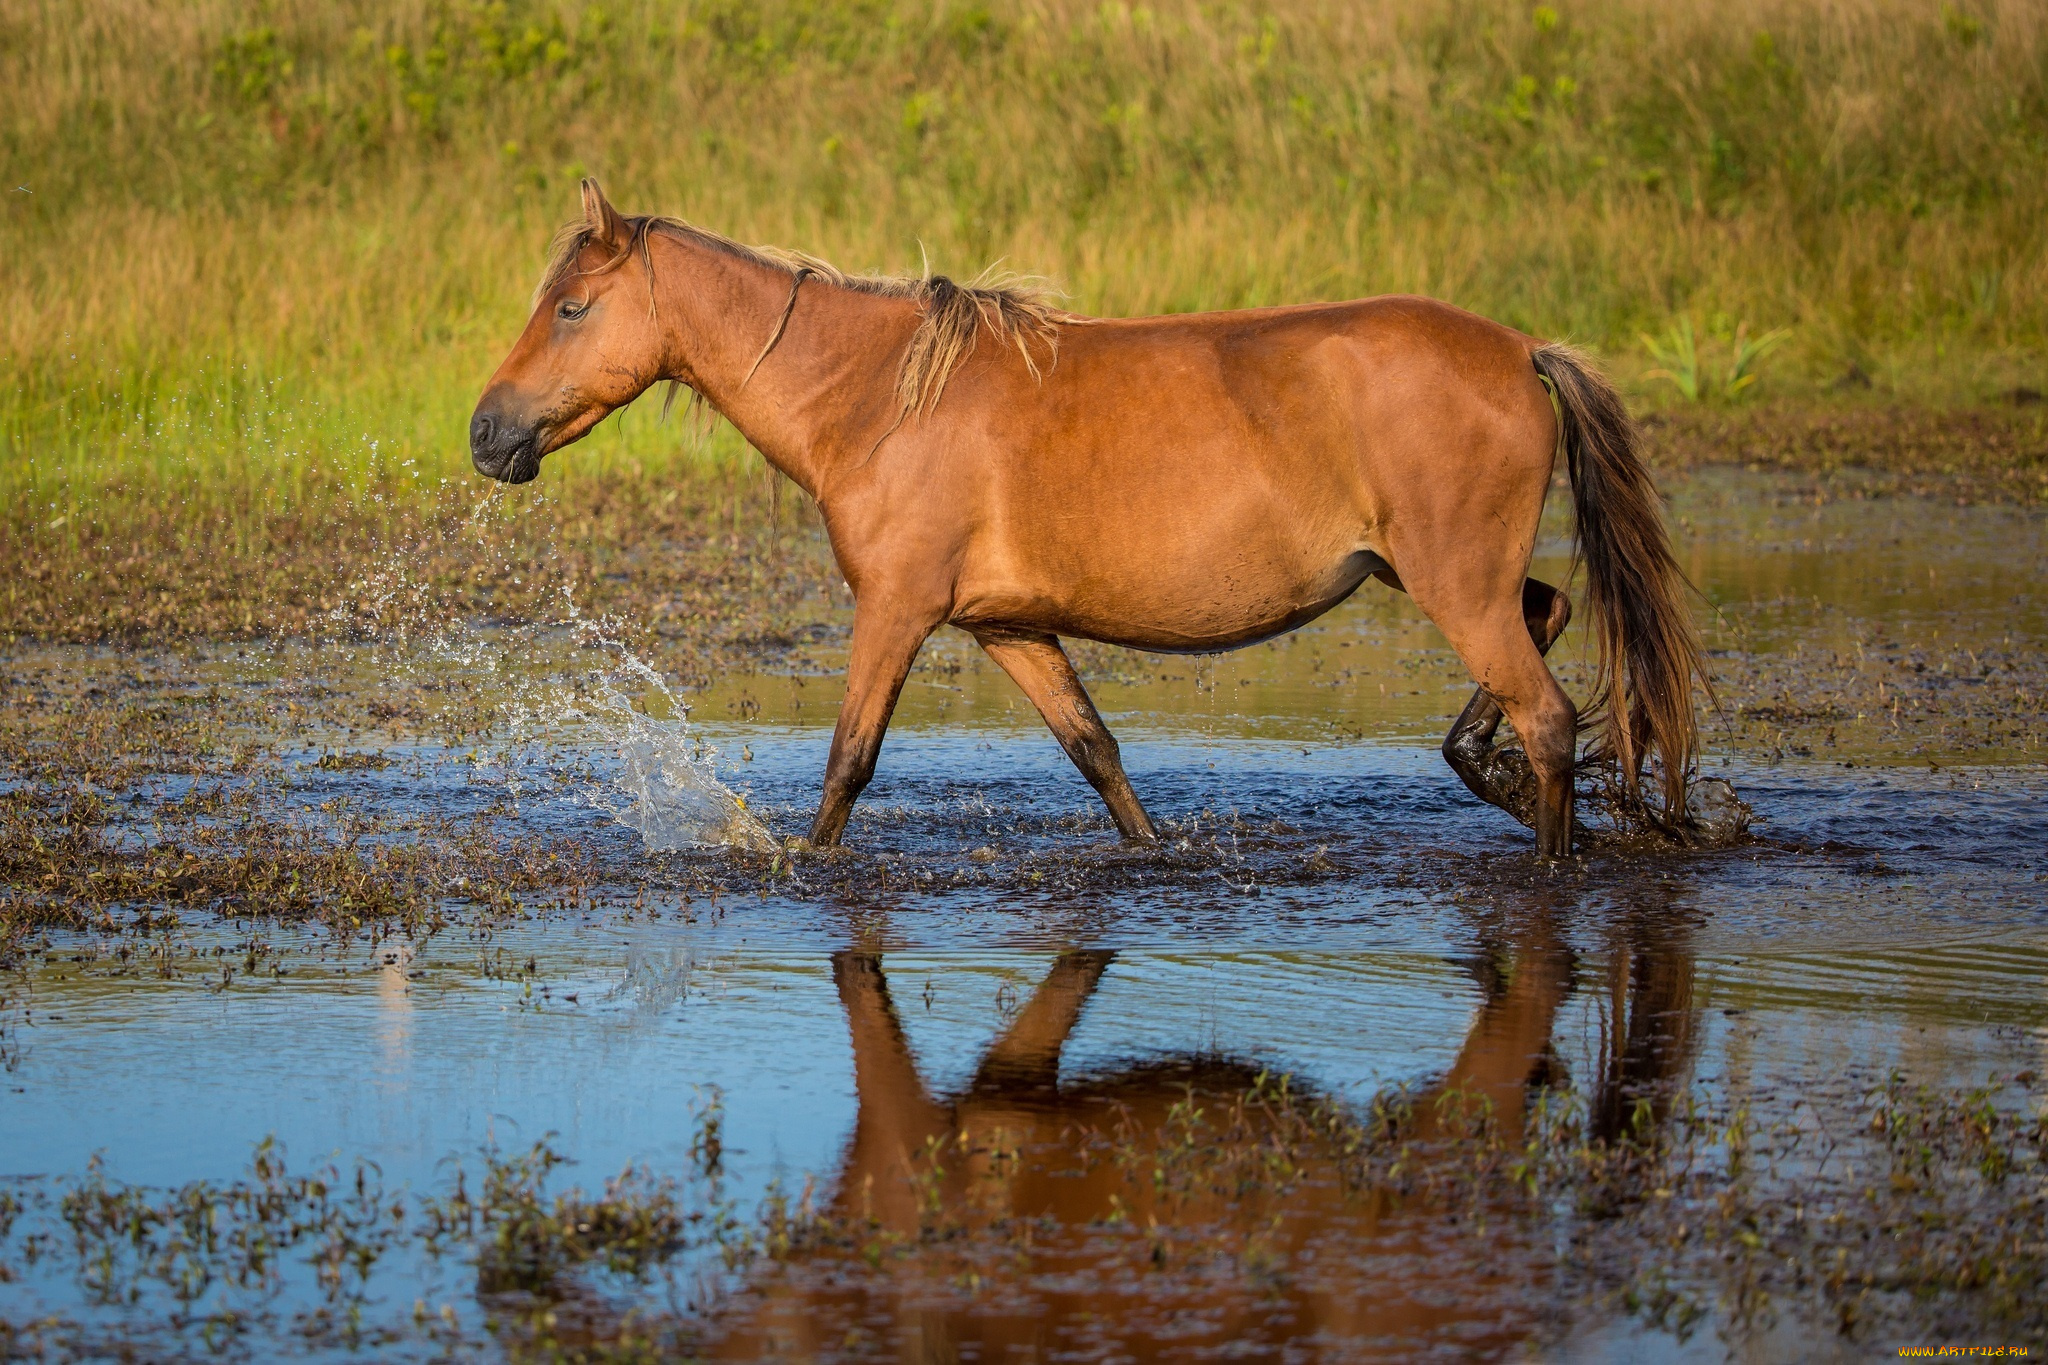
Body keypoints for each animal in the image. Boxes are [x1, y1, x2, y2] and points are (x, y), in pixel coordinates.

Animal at [471, 181, 1703, 855]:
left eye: (571, 308)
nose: (486, 434)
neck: (877, 399)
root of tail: (1521, 350)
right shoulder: (1009, 627)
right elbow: (1098, 756)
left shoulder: (895, 611)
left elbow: (847, 767)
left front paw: (799, 868)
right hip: (1442, 576)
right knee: (1546, 626)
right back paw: (1492, 775)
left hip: (1452, 584)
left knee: (1550, 717)